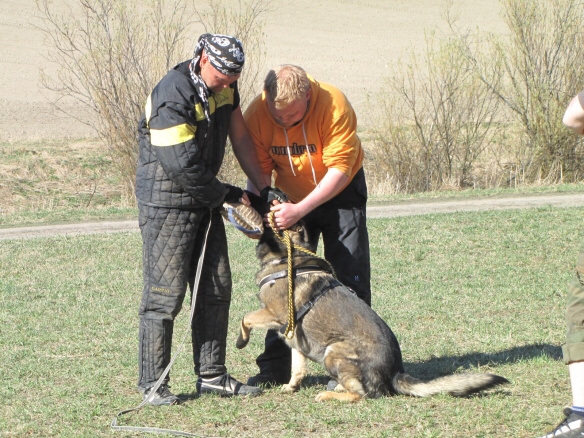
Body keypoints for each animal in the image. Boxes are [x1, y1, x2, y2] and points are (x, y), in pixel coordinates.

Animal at [235, 197, 508, 402]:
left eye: (277, 204)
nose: (259, 191)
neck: (288, 256)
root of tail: (395, 371)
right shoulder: (293, 333)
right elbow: (298, 368)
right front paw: (291, 386)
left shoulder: (273, 313)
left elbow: (245, 318)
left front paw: (241, 341)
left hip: (334, 352)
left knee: (363, 395)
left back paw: (330, 394)